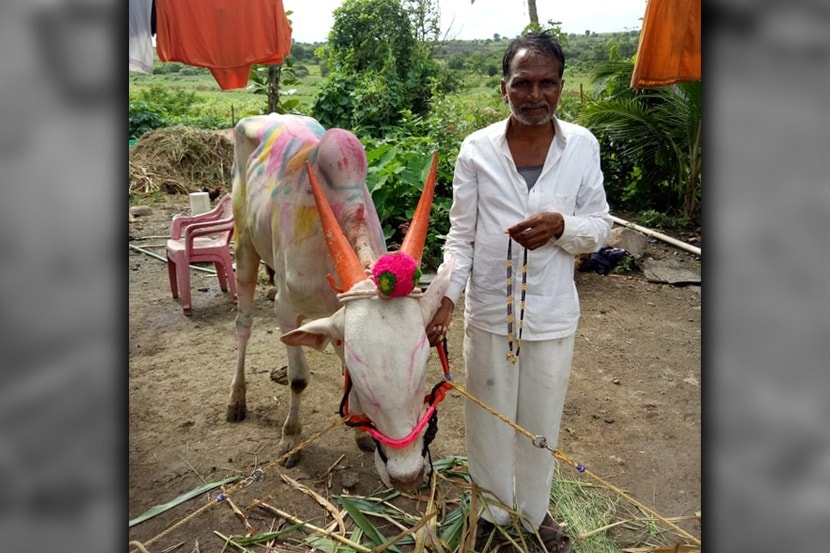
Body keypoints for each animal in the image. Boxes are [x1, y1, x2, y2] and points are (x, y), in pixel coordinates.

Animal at [228, 114, 456, 490]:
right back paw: (236, 398)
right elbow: (298, 378)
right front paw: (291, 438)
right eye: (360, 369)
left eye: (425, 361)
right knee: (243, 325)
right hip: (244, 246)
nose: (407, 475)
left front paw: (361, 431)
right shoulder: (286, 309)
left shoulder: (339, 320)